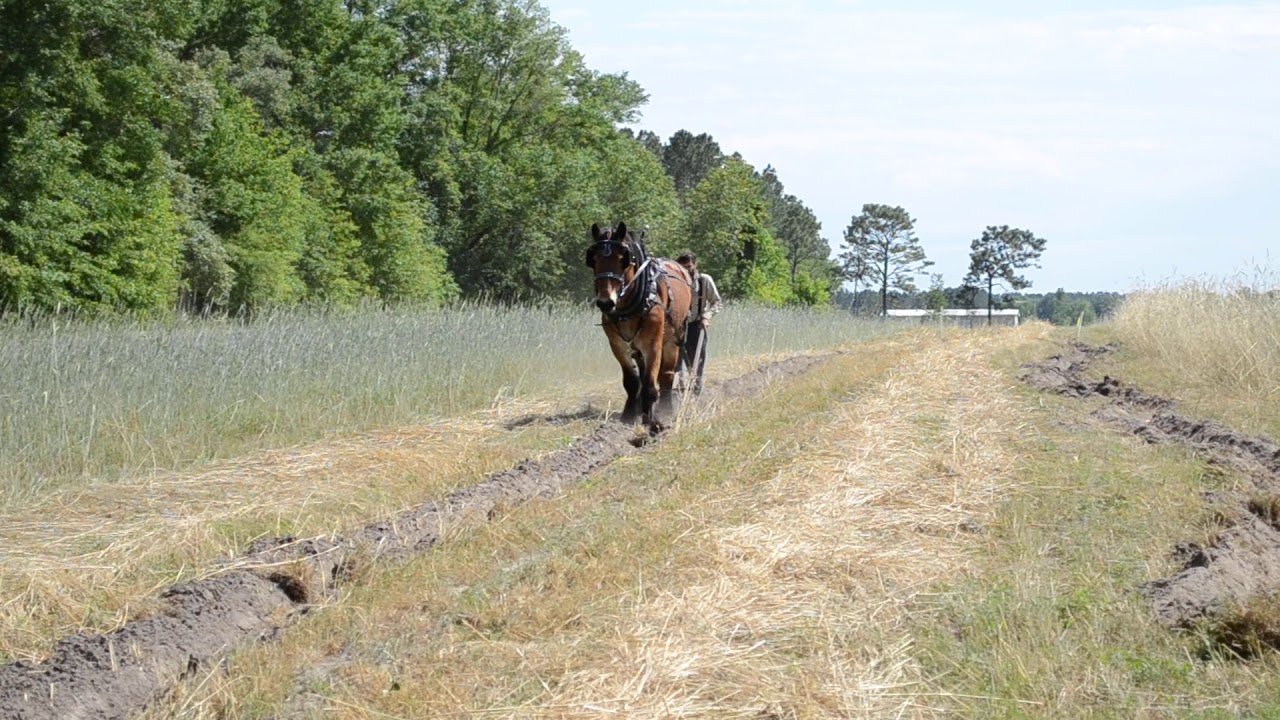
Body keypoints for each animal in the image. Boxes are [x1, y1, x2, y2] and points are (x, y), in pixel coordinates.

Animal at [585, 221, 694, 431]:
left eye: (623, 259)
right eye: (593, 259)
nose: (605, 302)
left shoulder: (653, 345)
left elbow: (651, 383)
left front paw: (653, 421)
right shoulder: (618, 346)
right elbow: (632, 381)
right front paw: (629, 415)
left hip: (674, 339)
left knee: (666, 377)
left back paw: (666, 409)